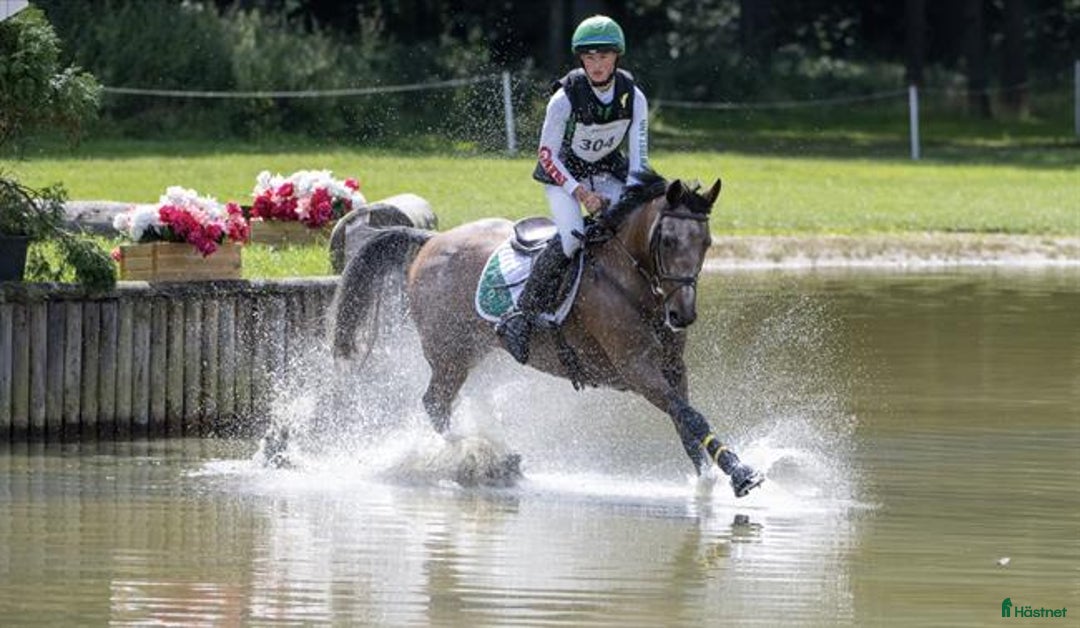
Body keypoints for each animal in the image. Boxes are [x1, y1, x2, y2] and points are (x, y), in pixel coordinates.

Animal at [329, 171, 764, 497]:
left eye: (706, 243)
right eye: (669, 240)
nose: (683, 314)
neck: (632, 280)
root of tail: (431, 241)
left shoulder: (673, 368)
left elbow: (686, 420)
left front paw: (709, 479)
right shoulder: (637, 369)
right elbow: (690, 415)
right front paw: (740, 473)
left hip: (476, 351)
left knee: (446, 402)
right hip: (450, 354)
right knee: (435, 403)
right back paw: (481, 457)